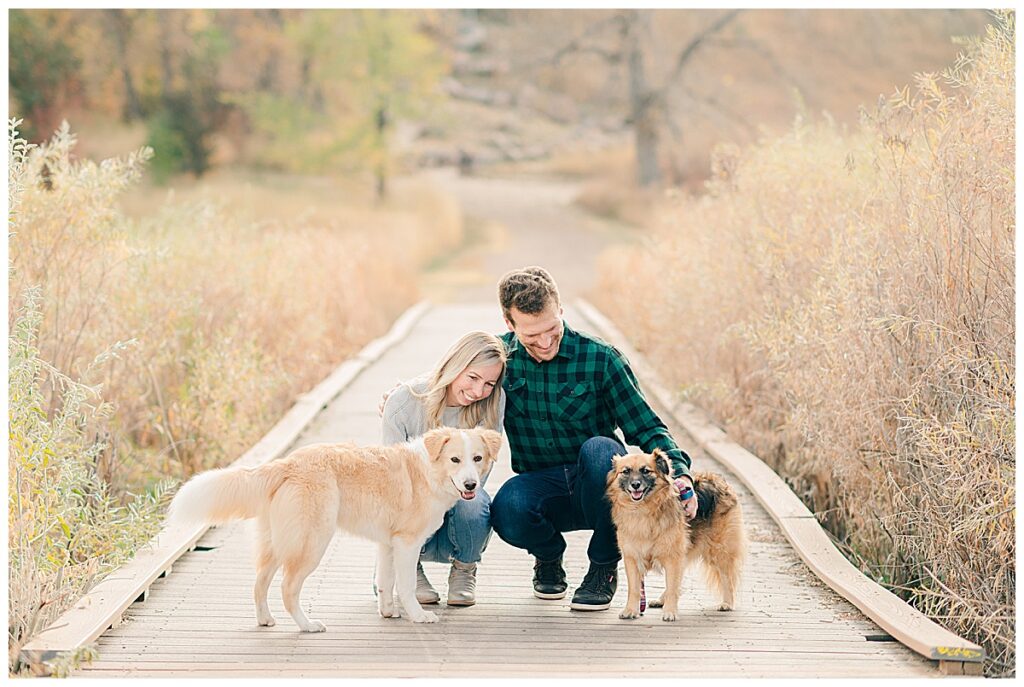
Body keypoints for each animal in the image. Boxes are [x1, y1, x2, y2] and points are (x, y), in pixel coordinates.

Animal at [166, 427, 499, 630]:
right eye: (455, 459)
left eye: (477, 458)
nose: (471, 485)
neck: (430, 470)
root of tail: (287, 463)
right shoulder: (407, 543)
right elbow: (404, 585)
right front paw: (418, 616)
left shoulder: (387, 543)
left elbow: (385, 580)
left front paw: (387, 611)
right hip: (311, 542)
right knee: (288, 588)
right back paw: (307, 625)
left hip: (279, 543)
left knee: (259, 583)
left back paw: (266, 620)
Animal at [606, 450, 745, 622]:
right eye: (625, 471)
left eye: (645, 471)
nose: (635, 484)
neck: (642, 510)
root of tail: (719, 480)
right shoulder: (632, 558)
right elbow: (635, 589)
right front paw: (631, 610)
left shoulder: (673, 556)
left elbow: (672, 585)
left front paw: (670, 612)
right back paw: (661, 600)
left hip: (719, 550)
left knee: (727, 578)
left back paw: (727, 603)